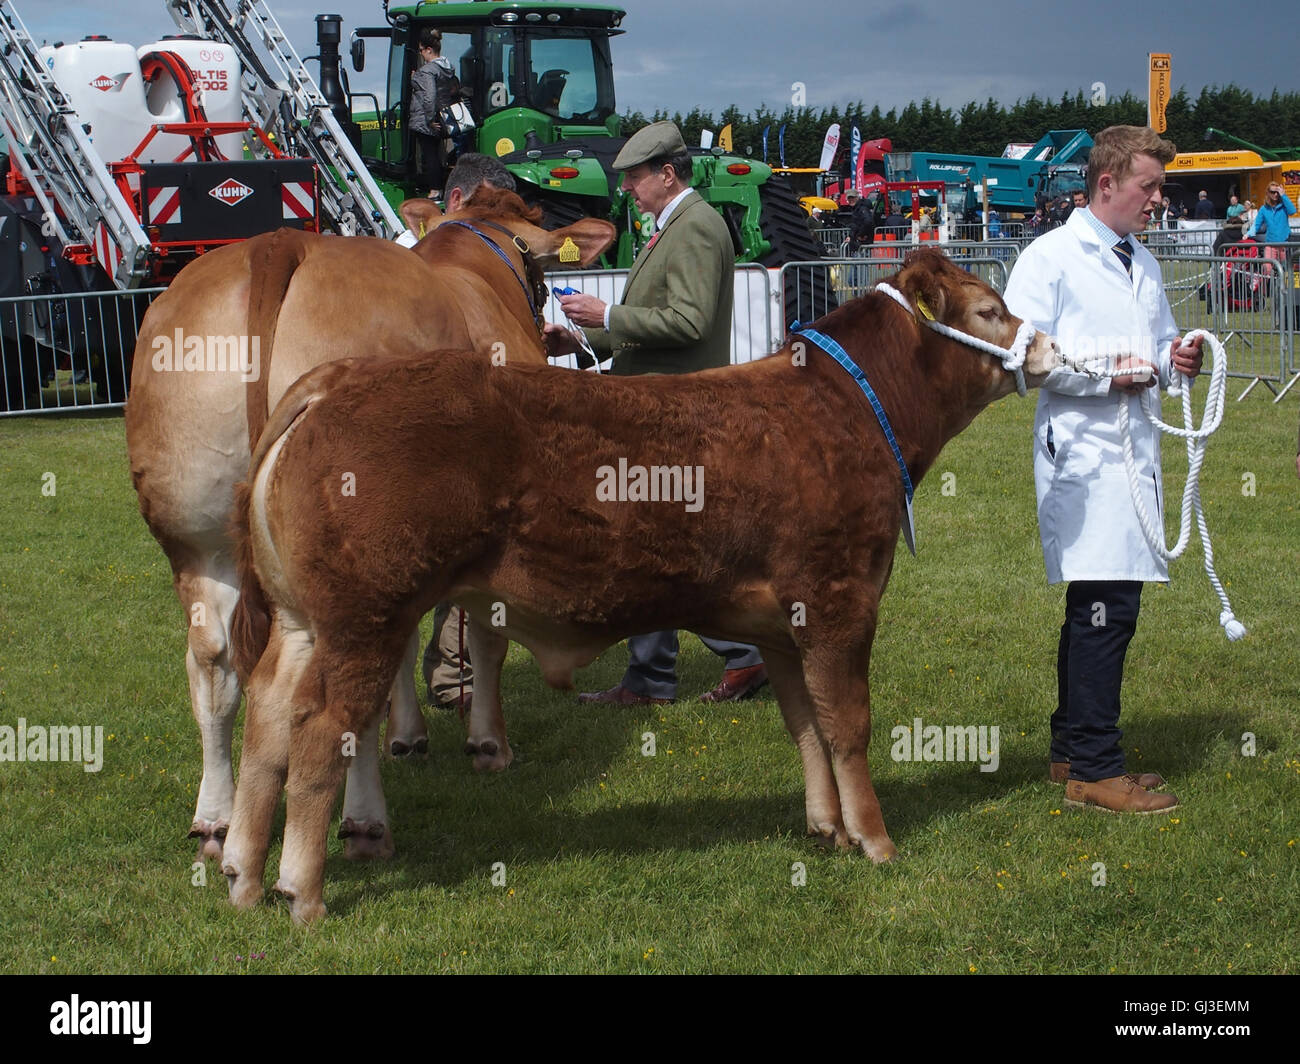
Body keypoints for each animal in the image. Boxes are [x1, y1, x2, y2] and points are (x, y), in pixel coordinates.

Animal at [124, 186, 611, 858]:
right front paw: (487, 742)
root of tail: (279, 244)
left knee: (213, 665)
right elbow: (485, 635)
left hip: (193, 537)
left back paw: (215, 820)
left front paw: (408, 738)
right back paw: (363, 822)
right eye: (542, 279)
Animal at [220, 251, 1055, 920]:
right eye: (988, 310)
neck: (845, 408)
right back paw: (302, 892)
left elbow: (805, 724)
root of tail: (337, 381)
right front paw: (876, 840)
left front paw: (829, 828)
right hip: (367, 616)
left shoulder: (782, 624)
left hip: (303, 622)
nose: (1046, 344)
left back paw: (243, 875)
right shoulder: (840, 598)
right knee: (320, 730)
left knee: (266, 714)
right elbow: (847, 723)